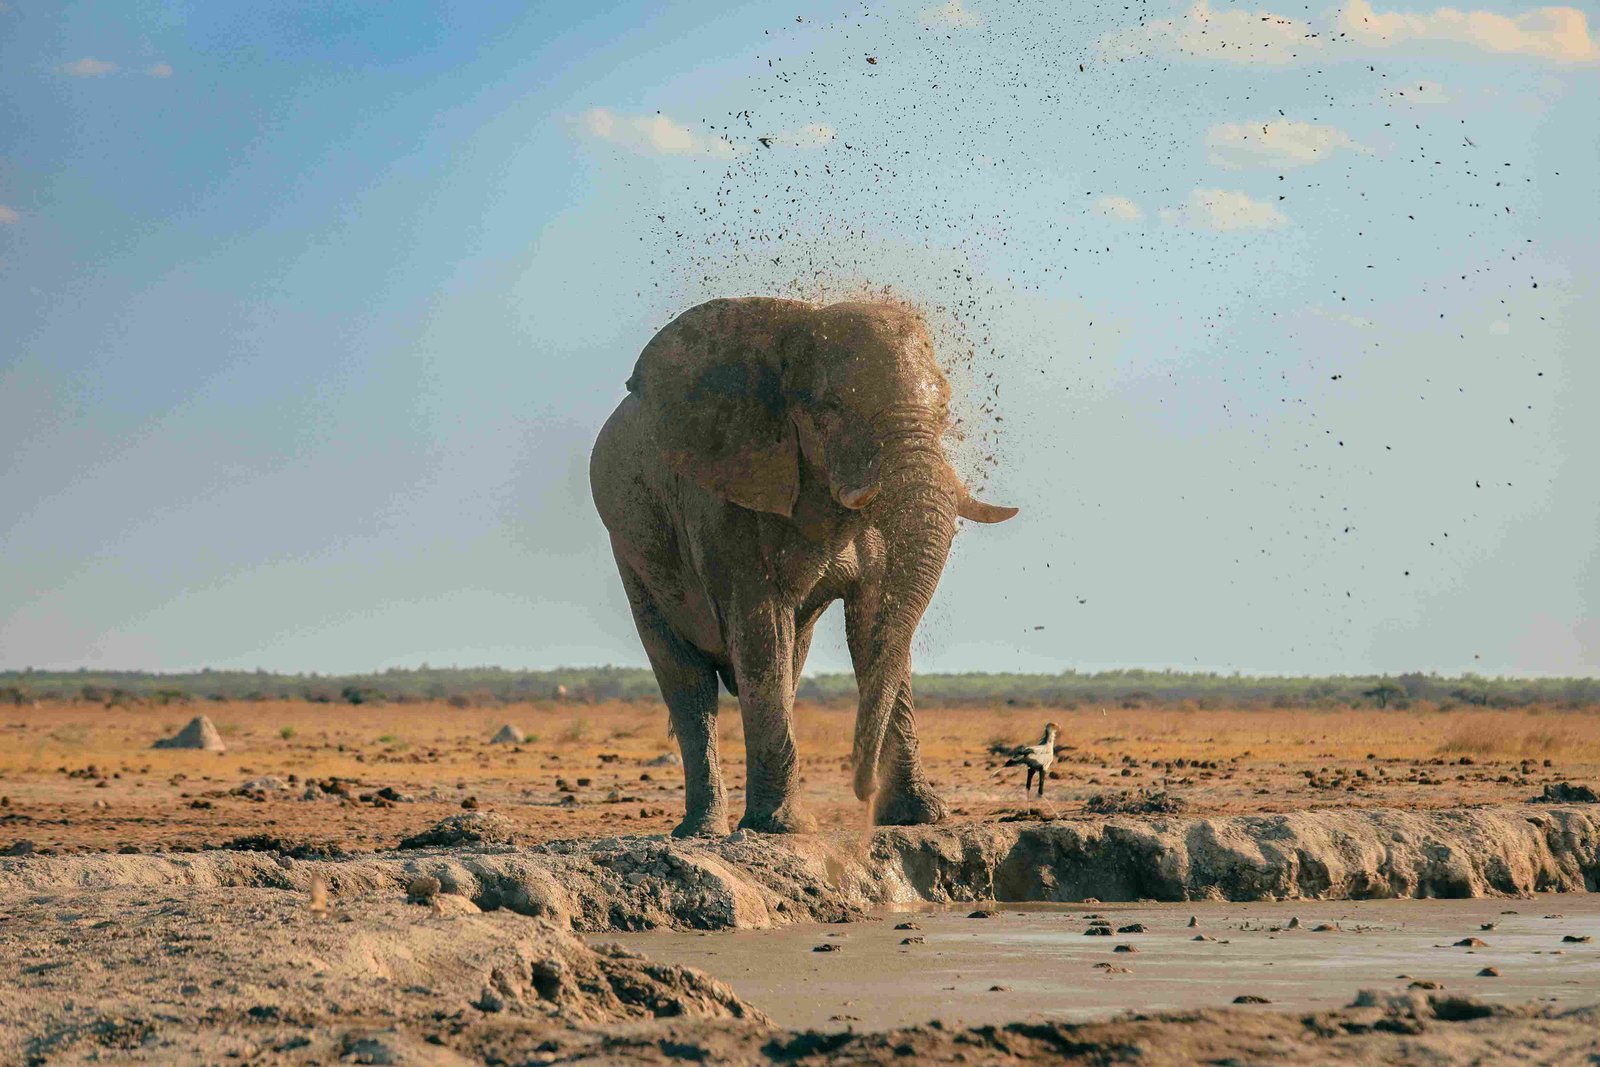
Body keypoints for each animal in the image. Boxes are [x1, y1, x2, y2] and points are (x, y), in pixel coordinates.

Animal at [590, 296, 1016, 836]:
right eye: (831, 410)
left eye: (944, 411)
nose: (862, 790)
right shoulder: (725, 499)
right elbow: (761, 629)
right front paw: (783, 828)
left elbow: (876, 623)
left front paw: (920, 818)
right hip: (631, 551)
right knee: (688, 681)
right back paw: (702, 831)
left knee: (785, 664)